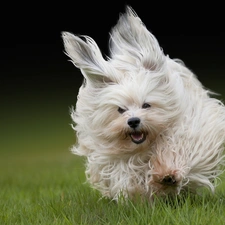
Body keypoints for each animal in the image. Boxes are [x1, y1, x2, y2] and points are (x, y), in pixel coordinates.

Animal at [62, 6, 225, 201]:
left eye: (146, 105)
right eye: (120, 109)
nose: (133, 121)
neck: (145, 146)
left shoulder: (193, 129)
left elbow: (179, 148)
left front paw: (167, 173)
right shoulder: (111, 158)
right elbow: (127, 174)